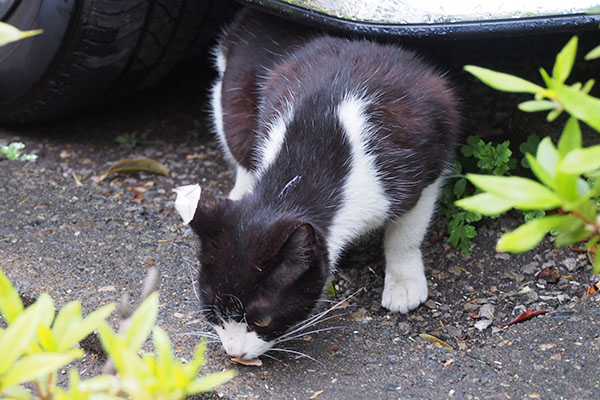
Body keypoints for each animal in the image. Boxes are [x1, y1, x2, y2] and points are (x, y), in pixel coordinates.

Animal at [173, 8, 460, 360]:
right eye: (213, 313)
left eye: (262, 320)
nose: (235, 353)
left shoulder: (424, 161)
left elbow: (407, 231)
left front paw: (404, 282)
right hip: (232, 93)